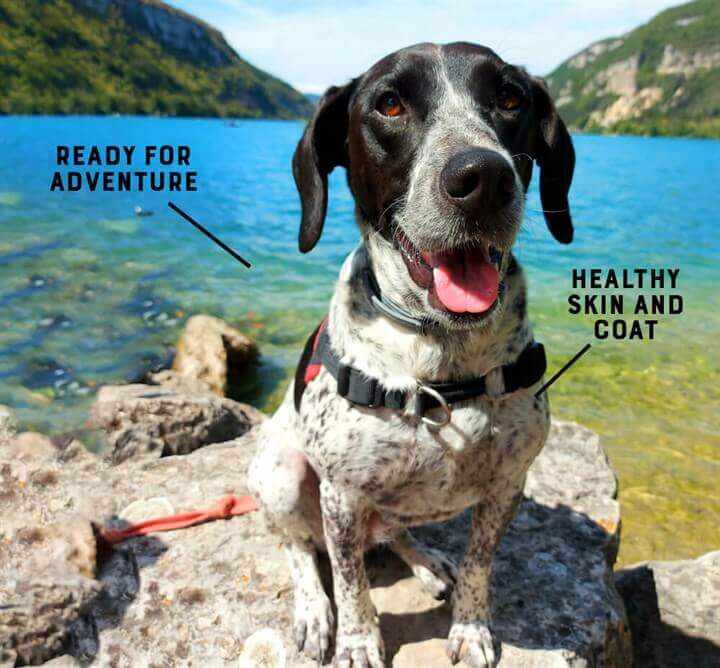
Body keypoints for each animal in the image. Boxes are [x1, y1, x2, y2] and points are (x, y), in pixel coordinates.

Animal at [250, 43, 576, 668]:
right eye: (390, 104)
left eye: (510, 98)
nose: (483, 176)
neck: (441, 363)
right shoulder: (342, 495)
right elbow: (350, 582)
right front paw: (357, 642)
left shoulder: (509, 483)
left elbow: (480, 564)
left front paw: (471, 627)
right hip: (280, 472)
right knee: (298, 547)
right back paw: (312, 608)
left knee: (396, 532)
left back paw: (427, 563)